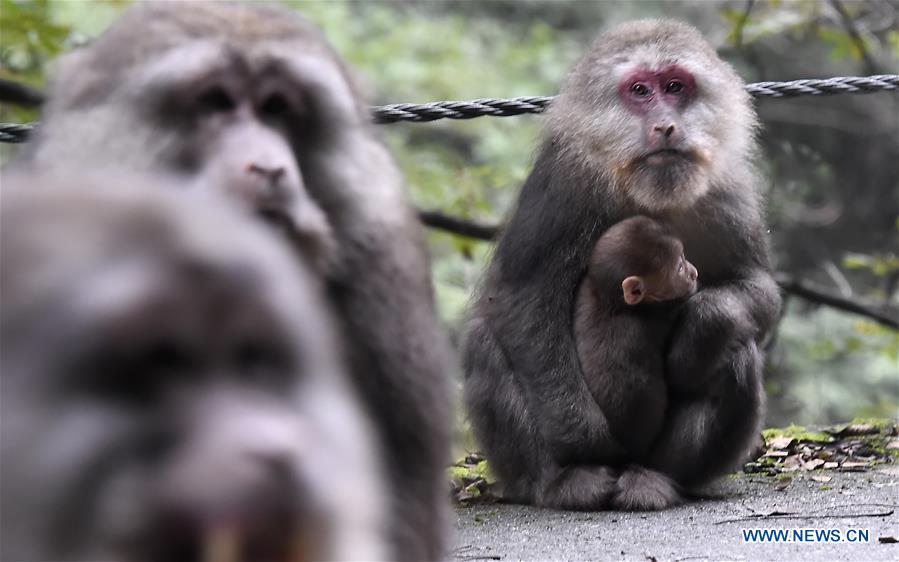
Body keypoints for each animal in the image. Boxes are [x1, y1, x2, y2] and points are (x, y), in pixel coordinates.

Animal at [572, 214, 700, 460]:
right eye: (679, 267)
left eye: (683, 259)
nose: (694, 272)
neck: (614, 304)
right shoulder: (658, 316)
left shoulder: (585, 293)